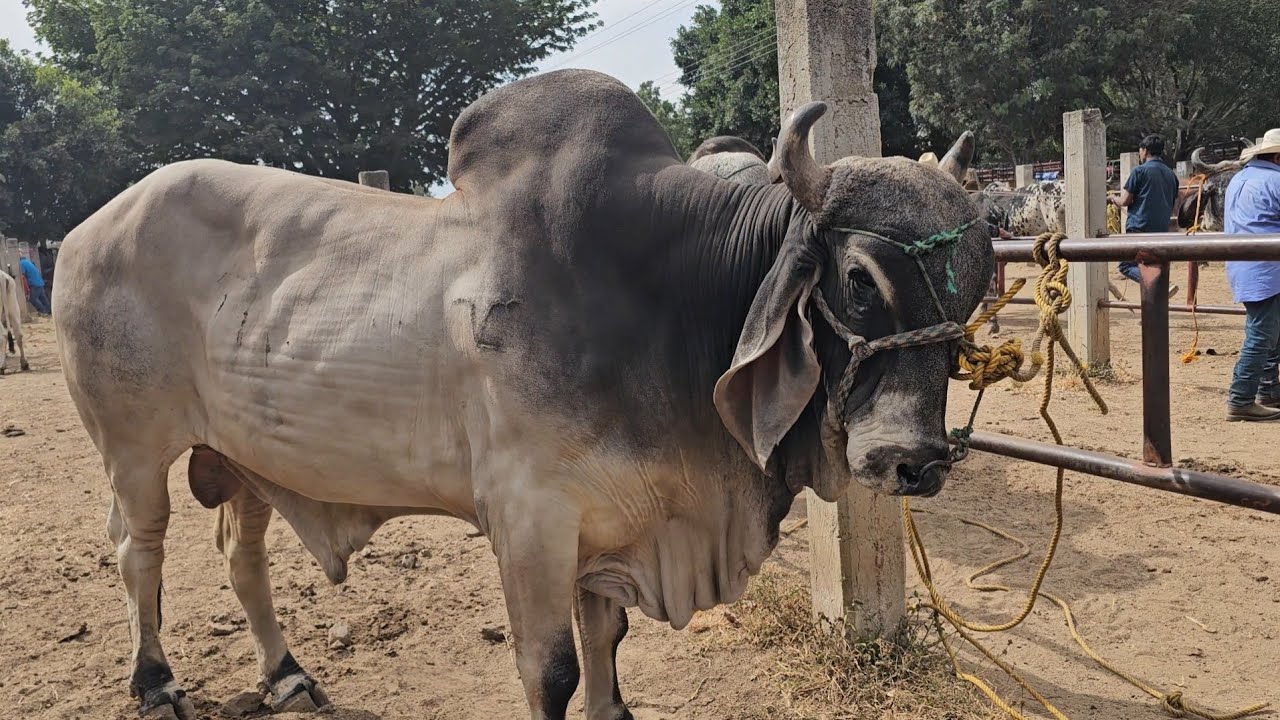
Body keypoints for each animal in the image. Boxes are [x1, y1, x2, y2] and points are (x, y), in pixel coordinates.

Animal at [54, 70, 992, 720]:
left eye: (983, 281)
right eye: (859, 278)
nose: (912, 461)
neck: (668, 300)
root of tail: (87, 228)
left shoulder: (615, 516)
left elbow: (606, 638)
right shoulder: (531, 516)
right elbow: (553, 670)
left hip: (247, 453)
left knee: (239, 555)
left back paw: (285, 675)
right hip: (131, 448)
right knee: (138, 550)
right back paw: (154, 682)